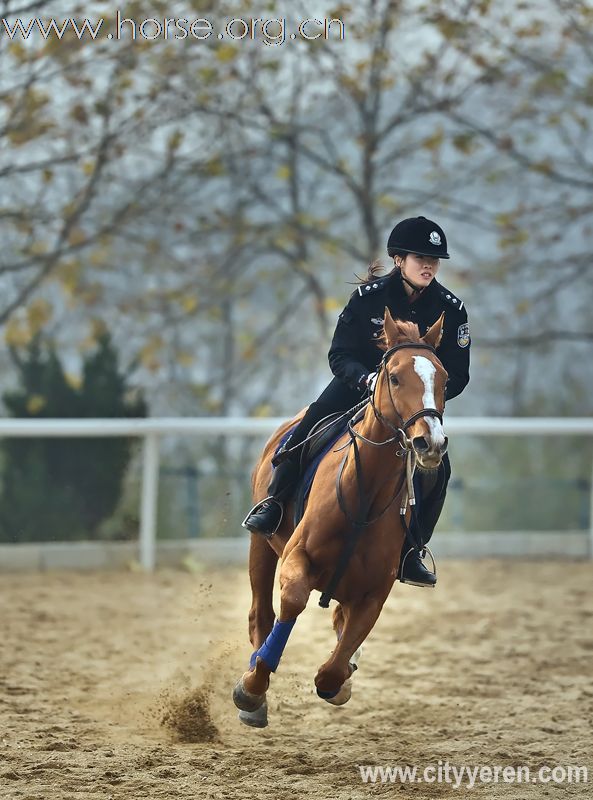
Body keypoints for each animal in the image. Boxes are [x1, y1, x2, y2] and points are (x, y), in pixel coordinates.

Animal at [234, 310, 446, 728]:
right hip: (260, 547)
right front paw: (251, 688)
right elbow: (293, 602)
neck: (364, 496)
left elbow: (334, 666)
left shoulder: (374, 592)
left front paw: (341, 676)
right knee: (261, 615)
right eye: (394, 376)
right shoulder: (296, 559)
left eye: (444, 377)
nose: (430, 442)